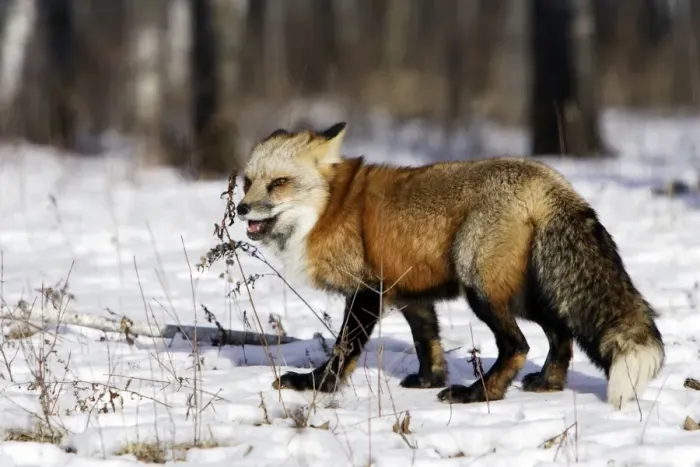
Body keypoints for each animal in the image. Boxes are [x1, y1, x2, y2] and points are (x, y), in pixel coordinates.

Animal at [235, 121, 665, 409]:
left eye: (278, 183)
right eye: (246, 182)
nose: (240, 209)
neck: (329, 210)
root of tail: (548, 178)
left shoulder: (366, 291)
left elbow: (344, 348)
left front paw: (317, 385)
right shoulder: (408, 293)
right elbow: (428, 342)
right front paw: (429, 380)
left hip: (482, 289)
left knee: (518, 345)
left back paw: (479, 393)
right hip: (524, 294)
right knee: (561, 334)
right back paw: (547, 383)